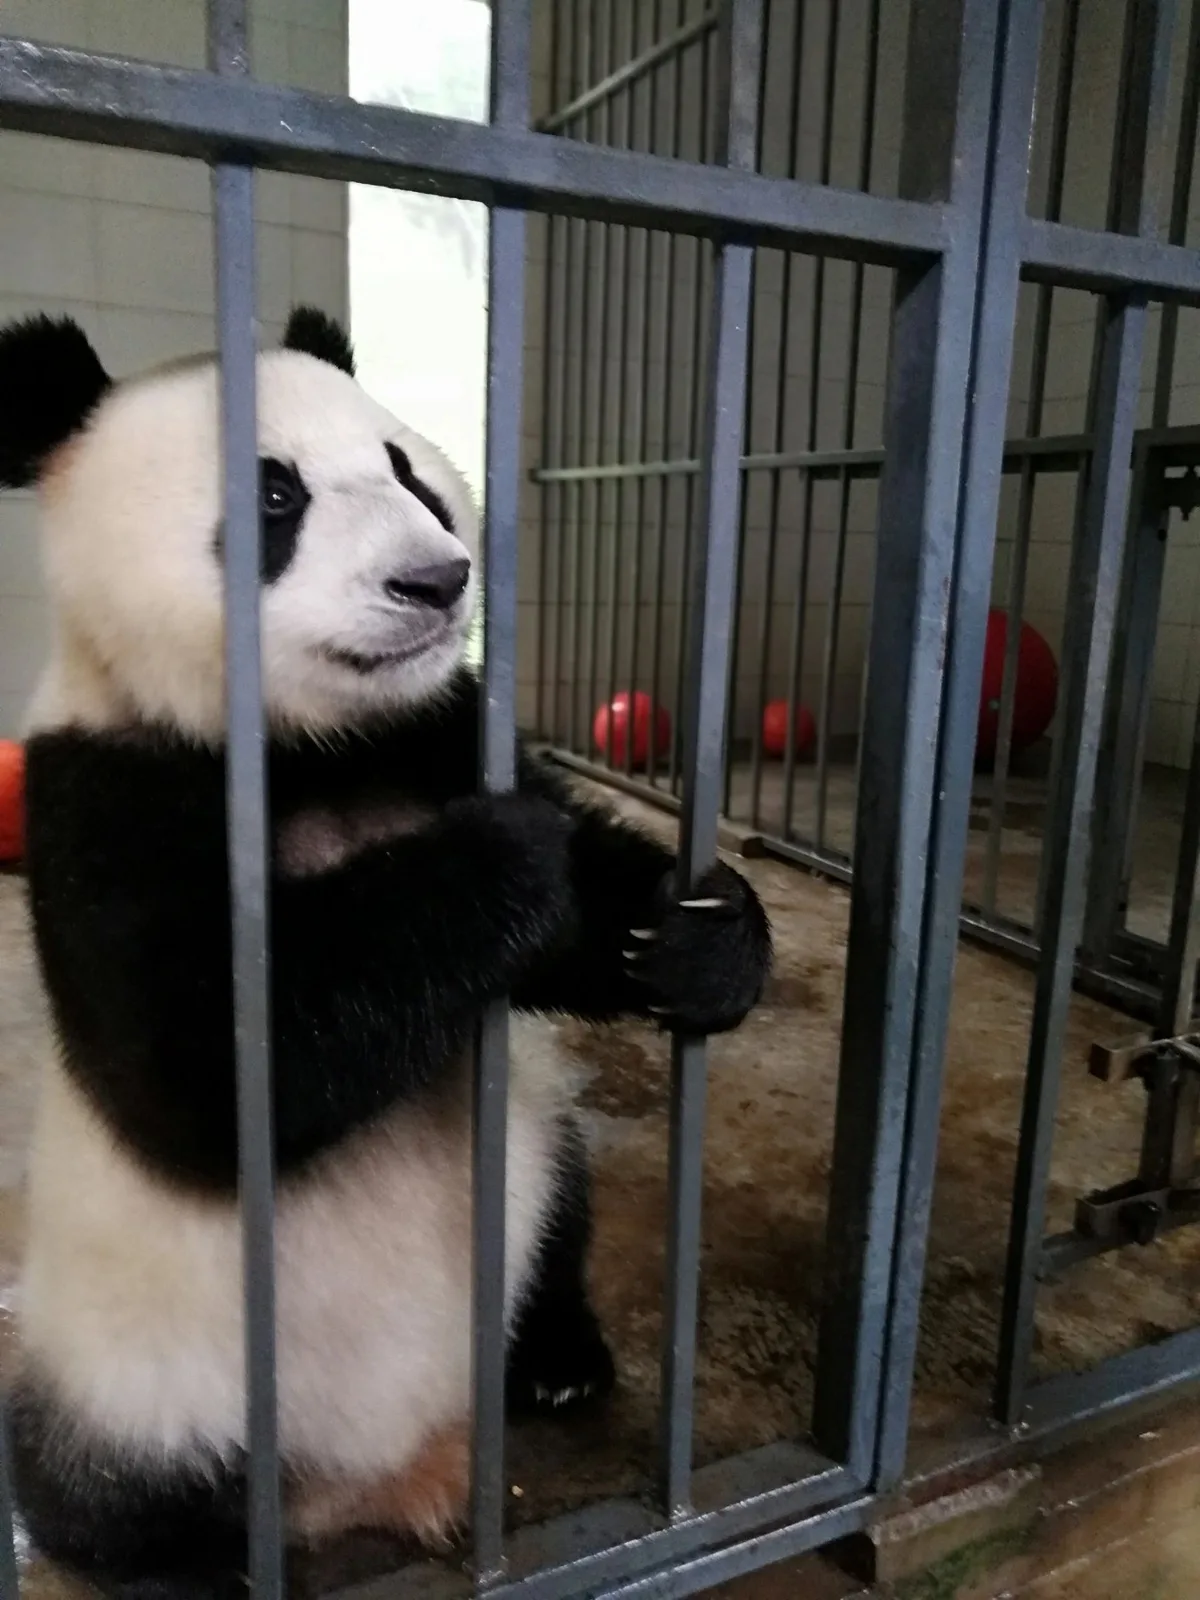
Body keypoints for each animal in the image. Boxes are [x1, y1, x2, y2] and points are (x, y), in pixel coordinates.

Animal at [0, 307, 772, 1600]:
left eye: (409, 470)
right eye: (275, 493)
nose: (436, 577)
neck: (308, 748)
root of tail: (376, 1478)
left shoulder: (433, 728)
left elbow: (578, 916)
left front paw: (699, 938)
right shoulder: (104, 791)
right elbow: (198, 1068)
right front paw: (506, 857)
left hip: (523, 1167)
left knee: (561, 1211)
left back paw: (557, 1362)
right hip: (126, 1364)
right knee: (93, 1488)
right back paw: (188, 1564)